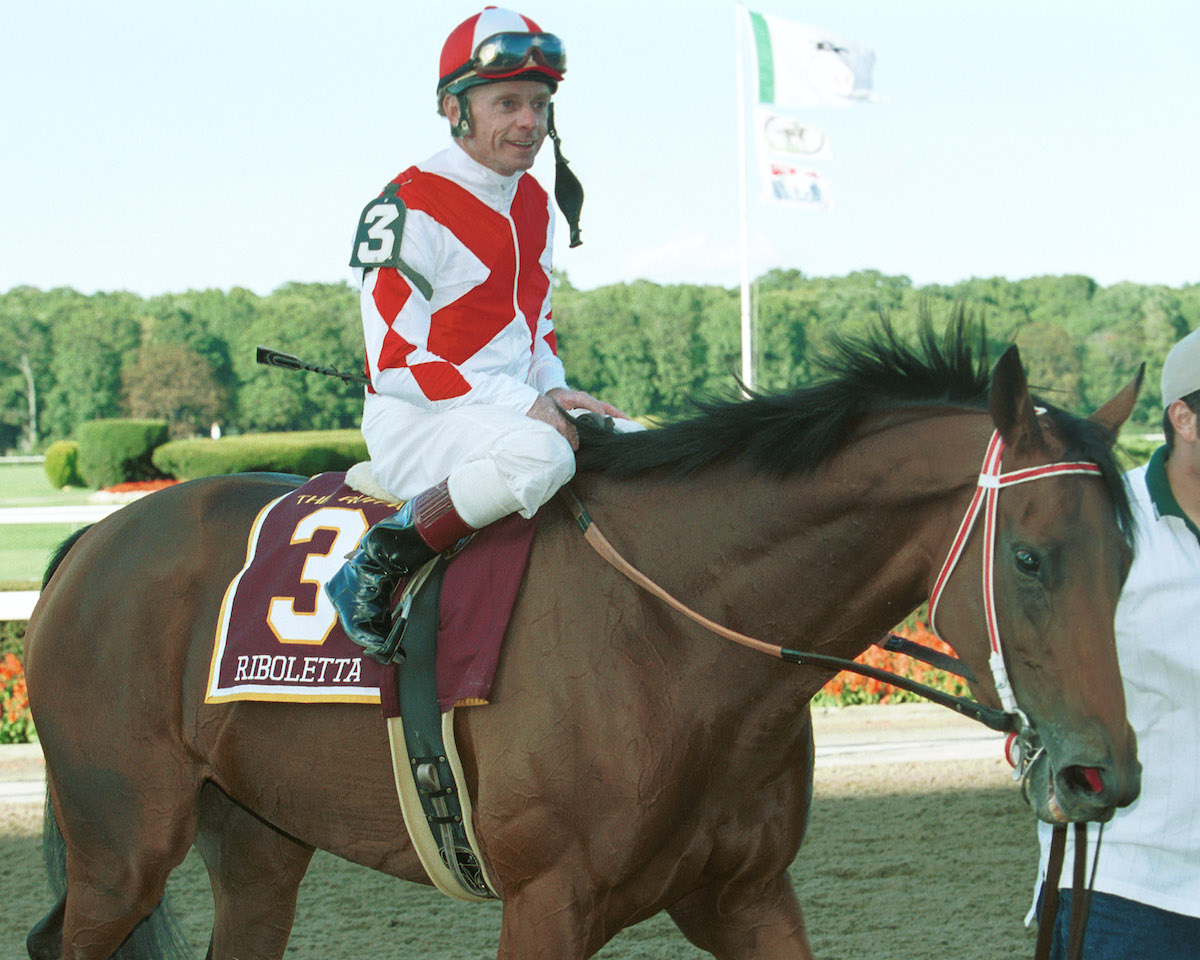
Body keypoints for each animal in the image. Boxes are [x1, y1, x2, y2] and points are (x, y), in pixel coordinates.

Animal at [23, 321, 1137, 960]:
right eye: (1029, 558)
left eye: (1128, 555)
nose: (1104, 778)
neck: (679, 634)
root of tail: (92, 539)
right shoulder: (546, 904)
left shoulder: (743, 894)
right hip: (122, 848)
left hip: (259, 839)